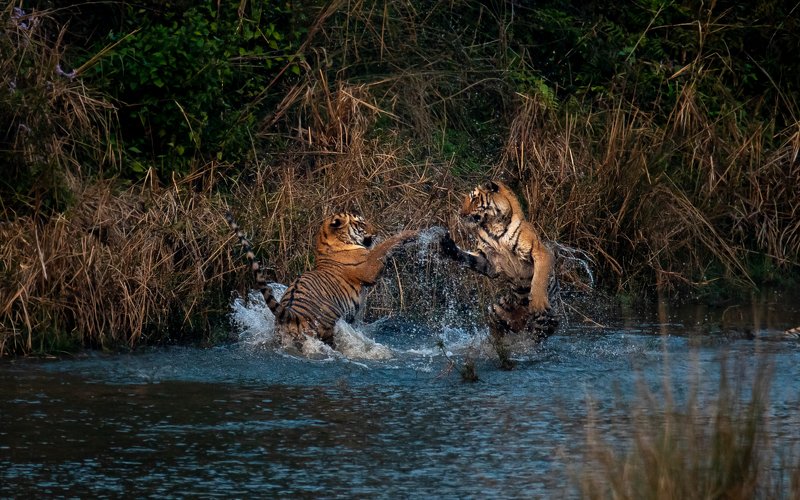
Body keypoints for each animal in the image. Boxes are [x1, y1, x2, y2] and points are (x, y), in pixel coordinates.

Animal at [226, 211, 418, 349]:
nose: (376, 232)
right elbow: (384, 246)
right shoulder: (369, 267)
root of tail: (291, 313)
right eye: (362, 223)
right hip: (326, 329)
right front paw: (411, 233)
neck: (327, 242)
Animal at [439, 180, 558, 367]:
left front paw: (538, 302)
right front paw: (448, 245)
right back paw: (497, 350)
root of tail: (521, 321)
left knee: (534, 338)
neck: (494, 226)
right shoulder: (488, 263)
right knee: (499, 334)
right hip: (496, 311)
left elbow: (538, 279)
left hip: (545, 322)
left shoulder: (540, 251)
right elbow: (468, 257)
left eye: (474, 199)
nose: (460, 214)